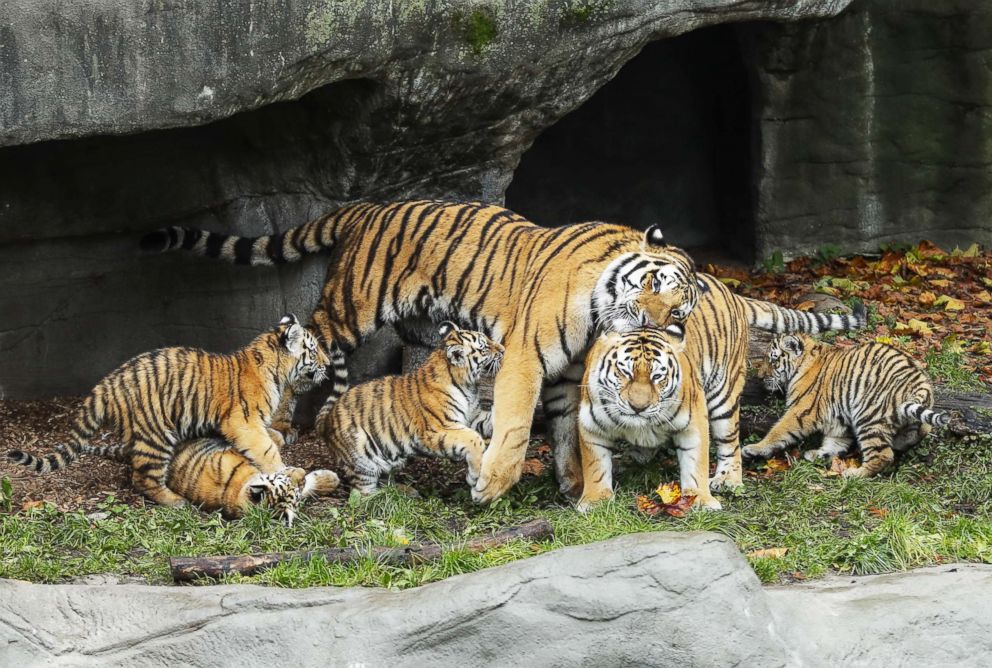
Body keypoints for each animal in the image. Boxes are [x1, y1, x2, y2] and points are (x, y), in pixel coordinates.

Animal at [6, 315, 333, 507]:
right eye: (313, 349)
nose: (329, 363)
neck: (274, 368)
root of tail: (108, 383)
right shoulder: (245, 422)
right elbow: (266, 450)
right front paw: (282, 470)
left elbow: (271, 438)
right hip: (157, 433)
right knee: (143, 479)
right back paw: (175, 501)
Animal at [315, 322, 503, 494]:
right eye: (484, 347)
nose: (502, 350)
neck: (468, 385)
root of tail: (327, 419)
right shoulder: (436, 429)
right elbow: (474, 438)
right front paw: (474, 476)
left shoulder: (473, 416)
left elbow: (491, 420)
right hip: (362, 459)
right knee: (362, 495)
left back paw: (404, 491)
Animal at [576, 323, 721, 512]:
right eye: (625, 372)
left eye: (657, 376)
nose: (638, 407)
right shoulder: (591, 425)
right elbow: (595, 466)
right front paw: (595, 500)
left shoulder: (694, 424)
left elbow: (697, 463)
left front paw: (701, 498)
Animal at [741, 335, 949, 478]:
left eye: (772, 360)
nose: (760, 377)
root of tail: (922, 385)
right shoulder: (838, 418)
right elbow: (836, 441)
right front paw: (820, 454)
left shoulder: (802, 410)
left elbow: (778, 431)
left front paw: (755, 448)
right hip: (908, 422)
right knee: (917, 433)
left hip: (868, 416)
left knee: (883, 455)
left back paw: (854, 474)